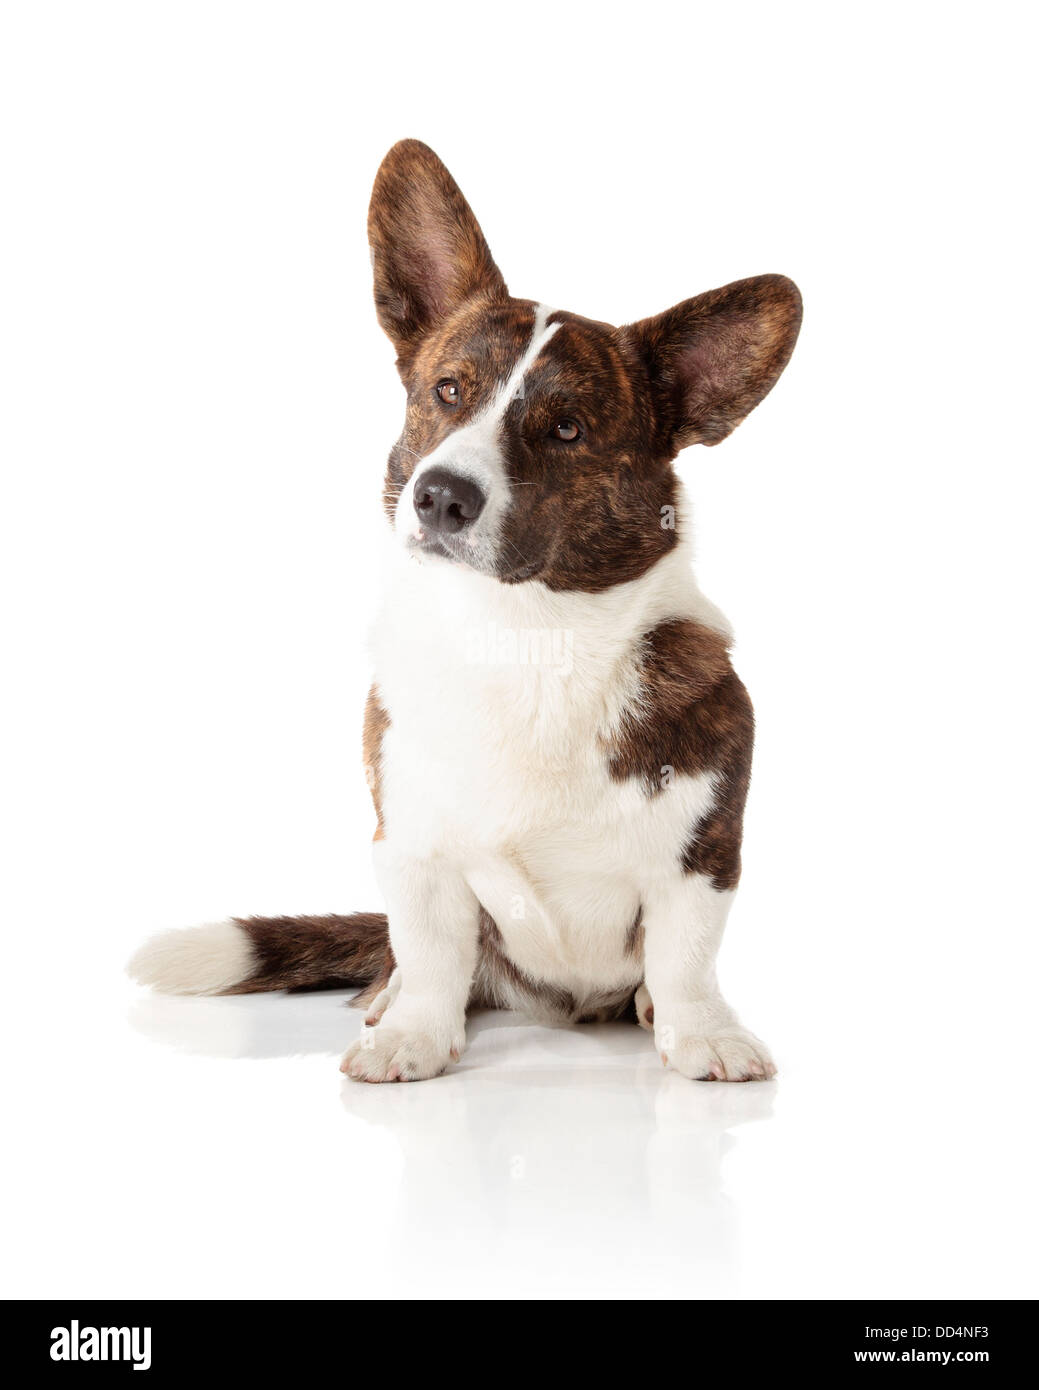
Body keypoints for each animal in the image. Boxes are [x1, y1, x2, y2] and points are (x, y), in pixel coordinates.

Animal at [125, 135, 801, 1078]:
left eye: (566, 429)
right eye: (448, 390)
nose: (440, 496)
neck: (524, 636)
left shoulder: (700, 856)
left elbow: (684, 956)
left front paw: (701, 1033)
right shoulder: (410, 847)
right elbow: (433, 949)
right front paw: (414, 1035)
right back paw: (387, 1003)